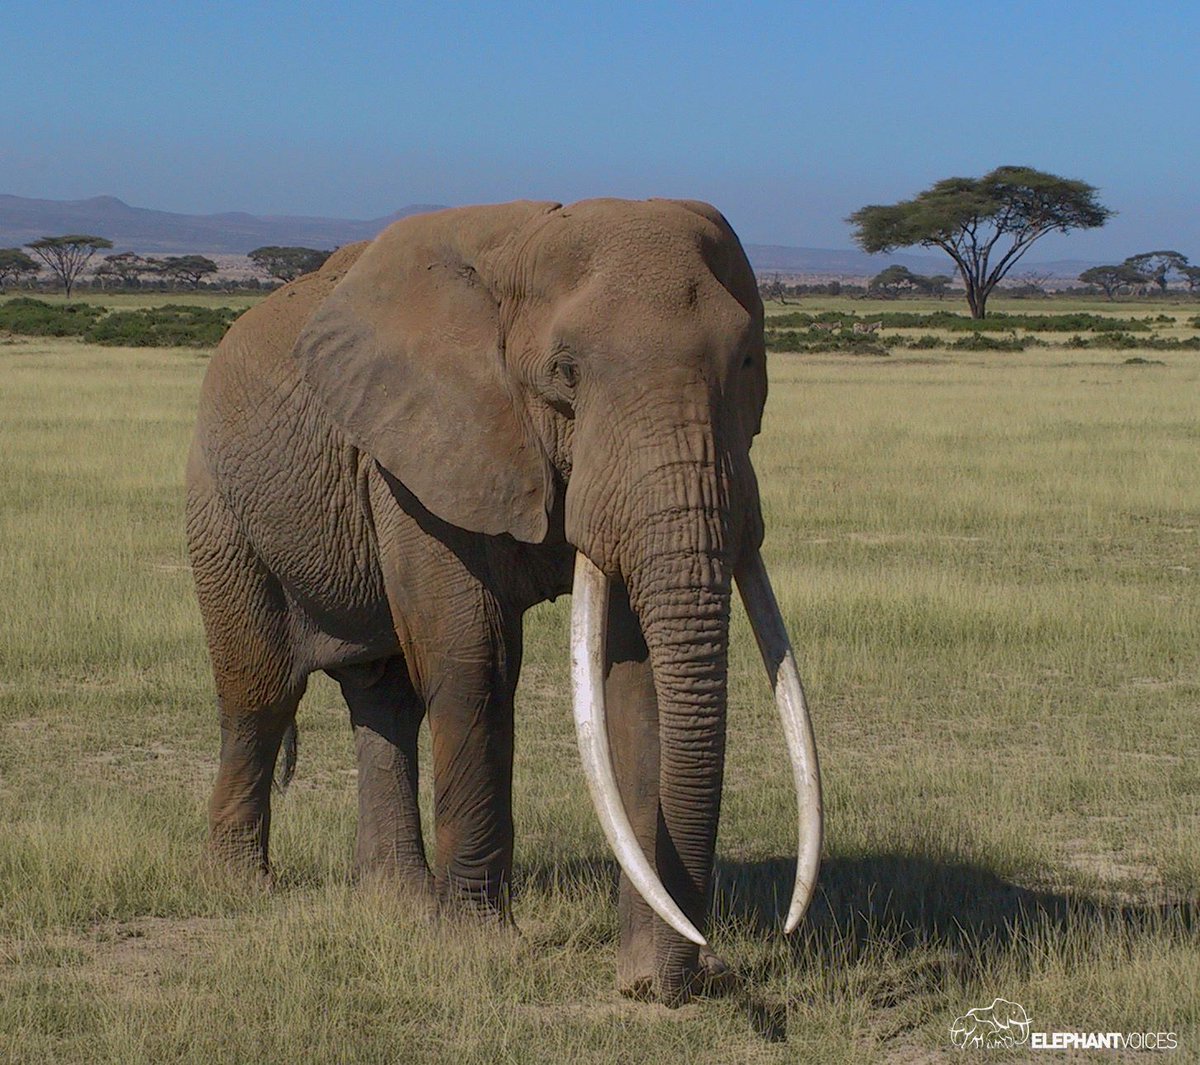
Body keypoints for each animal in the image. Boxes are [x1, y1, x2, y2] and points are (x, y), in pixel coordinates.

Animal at [186, 198, 821, 1005]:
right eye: (566, 372)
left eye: (747, 363)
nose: (698, 966)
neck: (528, 244)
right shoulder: (421, 452)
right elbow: (473, 663)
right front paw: (478, 949)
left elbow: (637, 683)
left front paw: (648, 976)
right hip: (217, 497)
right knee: (261, 692)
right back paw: (243, 888)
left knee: (383, 698)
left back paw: (398, 904)